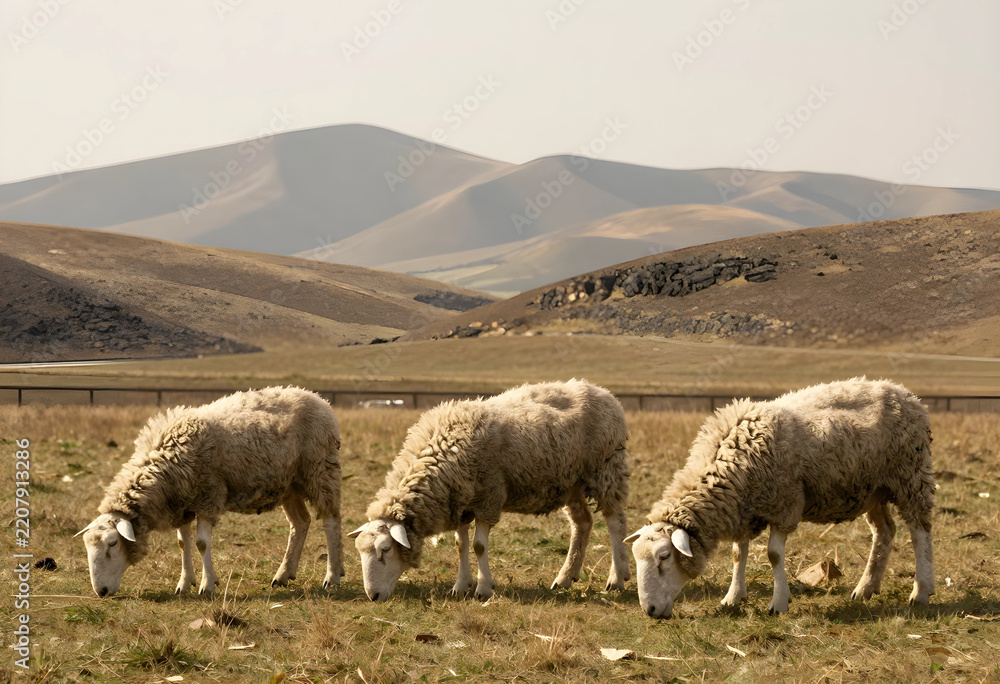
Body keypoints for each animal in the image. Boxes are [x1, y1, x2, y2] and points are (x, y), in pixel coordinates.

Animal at [75, 386, 342, 597]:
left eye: (112, 543)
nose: (101, 592)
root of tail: (317, 397)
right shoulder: (181, 504)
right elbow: (183, 543)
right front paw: (184, 583)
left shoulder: (208, 497)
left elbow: (202, 543)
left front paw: (208, 584)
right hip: (289, 485)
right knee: (300, 523)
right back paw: (284, 574)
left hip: (320, 470)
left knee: (330, 521)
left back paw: (332, 576)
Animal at [348, 379, 631, 602]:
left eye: (385, 549)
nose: (373, 596)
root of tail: (603, 392)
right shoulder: (460, 501)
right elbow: (460, 545)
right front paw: (461, 586)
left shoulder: (488, 497)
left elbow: (479, 546)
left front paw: (484, 588)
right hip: (571, 483)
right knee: (583, 523)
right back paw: (565, 577)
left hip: (606, 469)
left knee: (615, 521)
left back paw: (617, 578)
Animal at [626, 378, 934, 619]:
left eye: (664, 557)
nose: (649, 610)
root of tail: (905, 392)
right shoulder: (743, 509)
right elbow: (738, 554)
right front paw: (733, 597)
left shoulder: (784, 504)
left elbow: (773, 555)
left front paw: (778, 603)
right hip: (874, 490)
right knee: (885, 532)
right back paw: (866, 588)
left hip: (911, 476)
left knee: (920, 531)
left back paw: (921, 591)